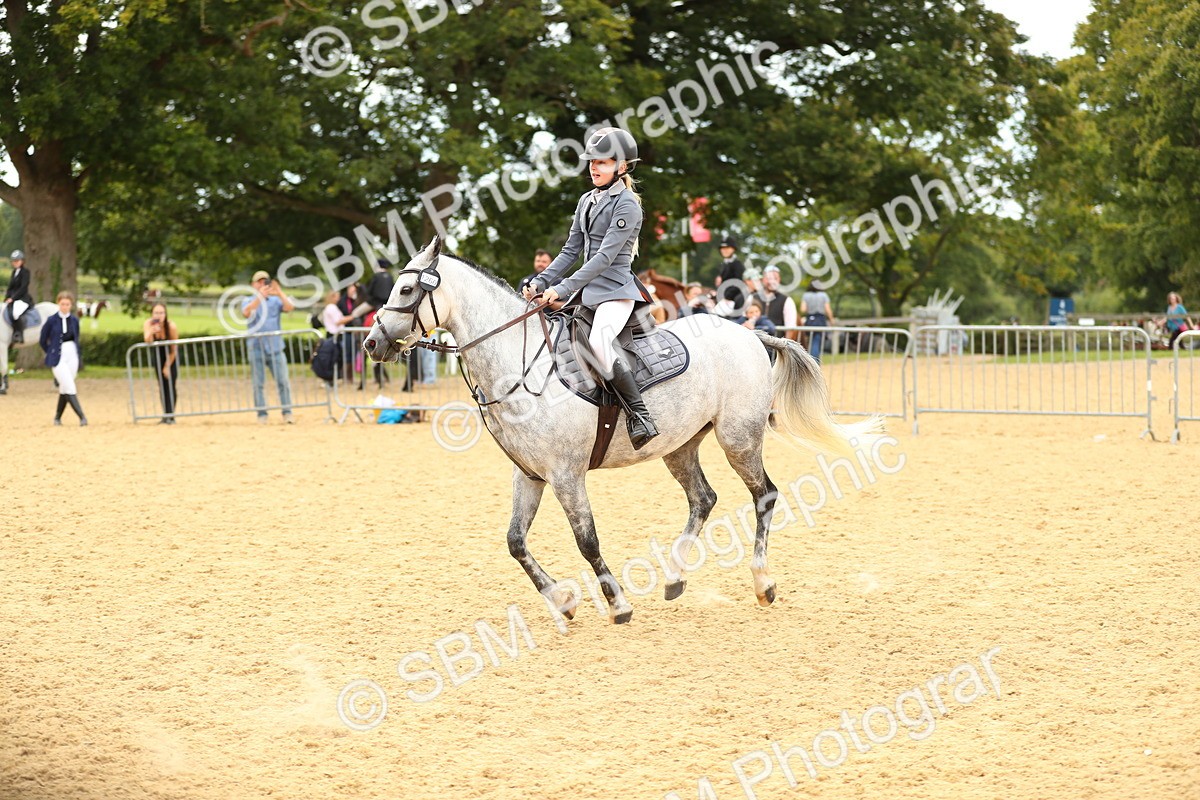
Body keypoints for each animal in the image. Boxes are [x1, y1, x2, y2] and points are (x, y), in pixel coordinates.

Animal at [363, 237, 881, 624]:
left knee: (764, 496)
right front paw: (564, 601)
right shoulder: (529, 475)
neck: (519, 363)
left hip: (738, 438)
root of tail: (749, 334)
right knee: (703, 499)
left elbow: (587, 540)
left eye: (406, 291)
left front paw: (617, 604)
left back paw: (762, 582)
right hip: (680, 446)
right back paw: (674, 579)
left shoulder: (566, 475)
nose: (371, 343)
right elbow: (515, 542)